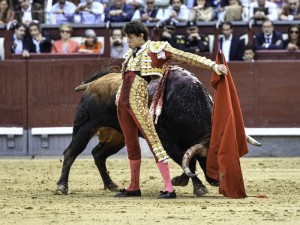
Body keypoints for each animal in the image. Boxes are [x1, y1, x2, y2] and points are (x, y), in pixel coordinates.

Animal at [56, 66, 233, 195]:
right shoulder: (165, 139)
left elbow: (189, 160)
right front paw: (198, 187)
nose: (217, 181)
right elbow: (185, 159)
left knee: (98, 154)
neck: (186, 103)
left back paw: (111, 185)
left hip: (117, 137)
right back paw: (62, 186)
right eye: (209, 159)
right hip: (85, 127)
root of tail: (93, 84)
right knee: (71, 152)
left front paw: (181, 181)